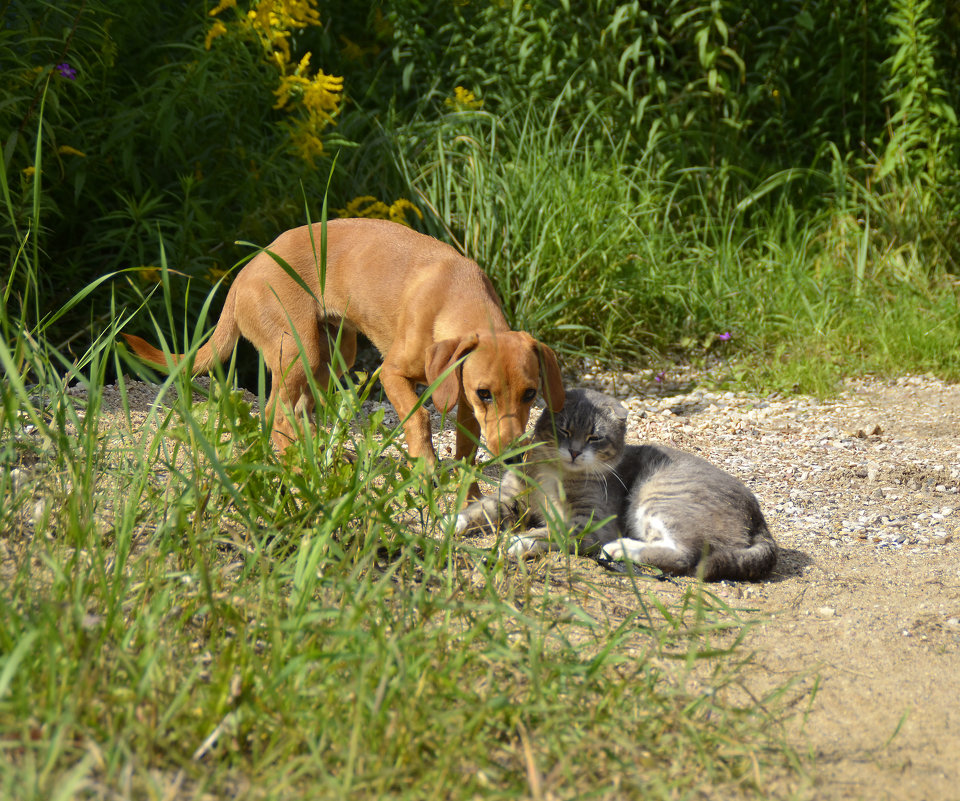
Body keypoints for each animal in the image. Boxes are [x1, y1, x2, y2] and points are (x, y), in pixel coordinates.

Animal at [124, 219, 568, 468]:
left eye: (531, 394)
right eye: (485, 393)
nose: (512, 453)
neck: (456, 297)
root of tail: (242, 274)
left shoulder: (460, 400)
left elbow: (465, 446)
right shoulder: (392, 375)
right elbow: (420, 421)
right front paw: (425, 465)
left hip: (331, 358)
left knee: (296, 413)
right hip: (299, 351)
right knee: (275, 415)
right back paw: (294, 462)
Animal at [454, 390, 776, 580]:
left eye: (594, 437)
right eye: (564, 430)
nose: (574, 451)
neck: (555, 470)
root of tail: (759, 520)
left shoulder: (592, 521)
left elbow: (557, 531)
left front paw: (523, 541)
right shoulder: (513, 498)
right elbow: (481, 509)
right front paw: (451, 522)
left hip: (658, 497)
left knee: (685, 554)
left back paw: (620, 549)